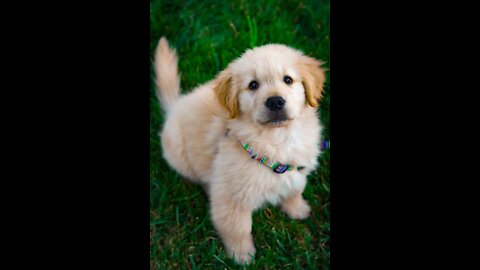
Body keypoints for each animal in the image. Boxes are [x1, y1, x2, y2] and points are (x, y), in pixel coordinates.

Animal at [154, 37, 326, 264]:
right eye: (253, 85)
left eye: (288, 80)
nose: (275, 101)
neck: (277, 140)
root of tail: (175, 105)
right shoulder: (232, 198)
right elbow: (238, 229)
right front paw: (242, 256)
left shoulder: (296, 170)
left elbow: (294, 190)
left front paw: (298, 210)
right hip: (178, 152)